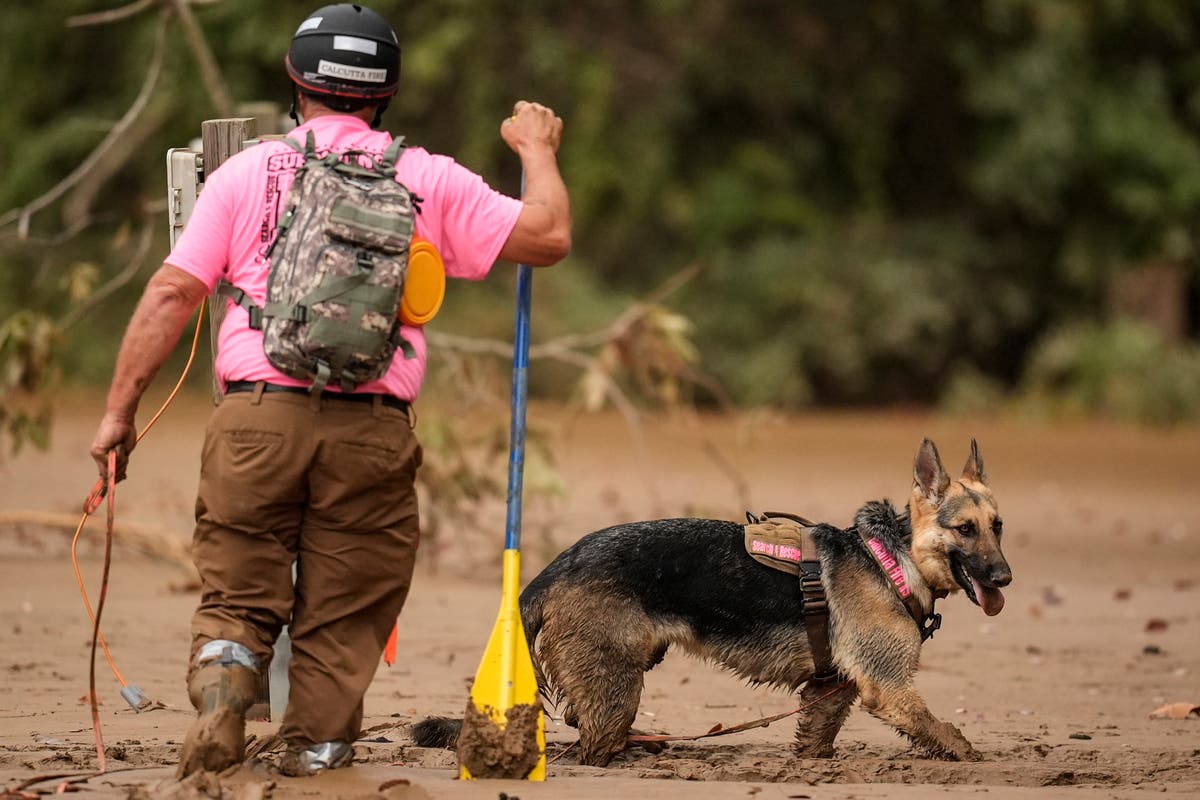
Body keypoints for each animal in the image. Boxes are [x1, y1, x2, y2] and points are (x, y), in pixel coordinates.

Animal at [415, 441, 1012, 767]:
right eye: (965, 529)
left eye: (998, 526)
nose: (1005, 576)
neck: (893, 556)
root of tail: (554, 567)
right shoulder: (888, 690)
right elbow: (946, 732)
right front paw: (972, 758)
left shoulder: (831, 690)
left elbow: (817, 737)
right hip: (617, 687)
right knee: (589, 748)